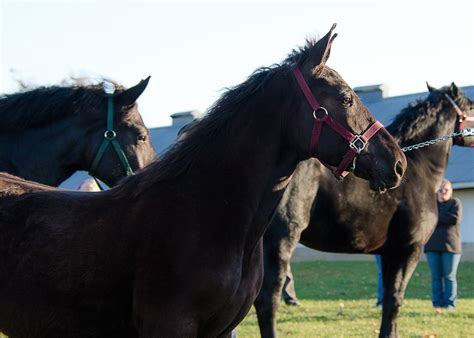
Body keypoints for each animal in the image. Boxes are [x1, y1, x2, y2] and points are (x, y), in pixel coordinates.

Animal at [256, 82, 474, 338]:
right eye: (472, 106)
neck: (420, 169)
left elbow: (389, 299)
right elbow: (395, 300)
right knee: (267, 300)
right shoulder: (409, 250)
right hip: (280, 241)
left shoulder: (390, 253)